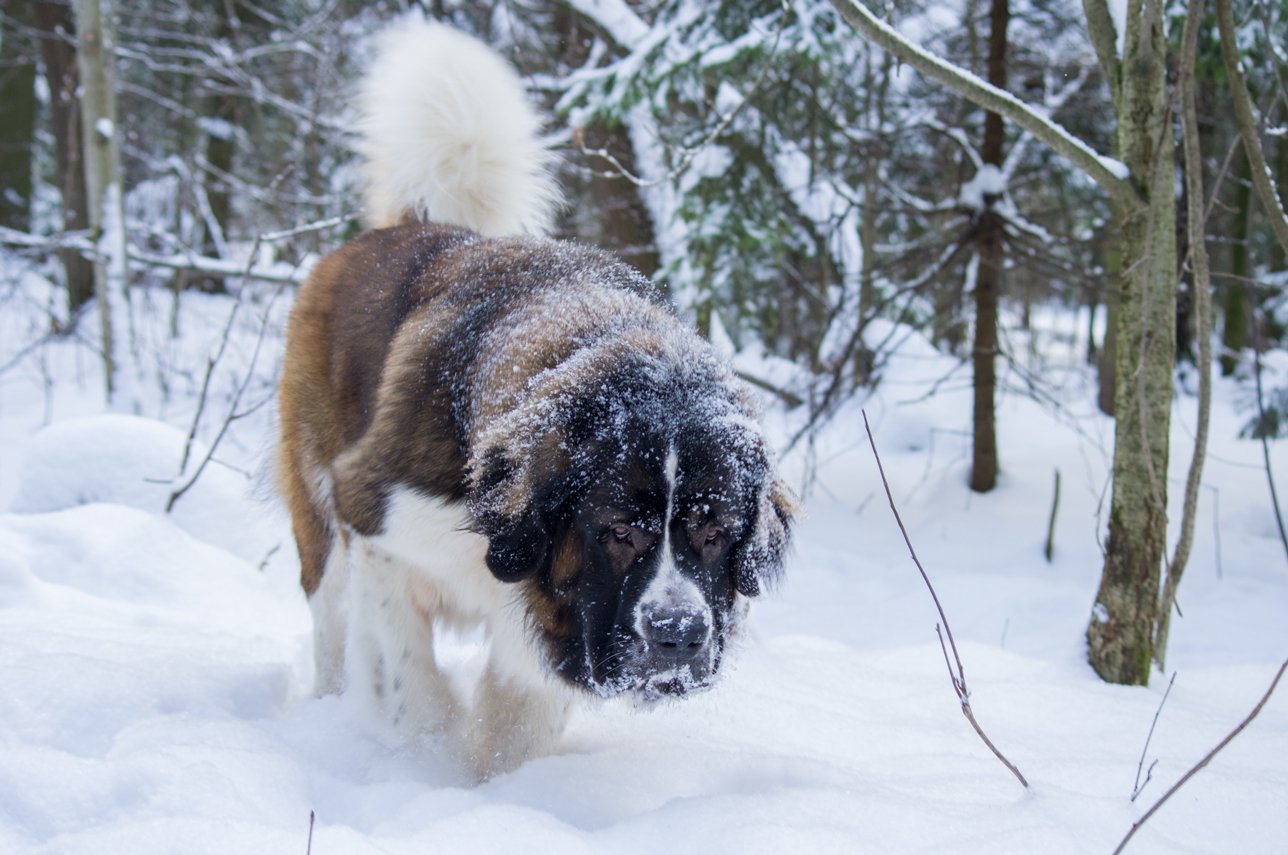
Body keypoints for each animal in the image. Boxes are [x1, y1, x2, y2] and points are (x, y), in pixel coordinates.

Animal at [276, 20, 788, 782]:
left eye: (716, 530)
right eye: (618, 530)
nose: (679, 633)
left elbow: (513, 729)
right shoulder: (378, 522)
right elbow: (408, 685)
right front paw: (423, 758)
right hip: (319, 509)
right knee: (333, 617)